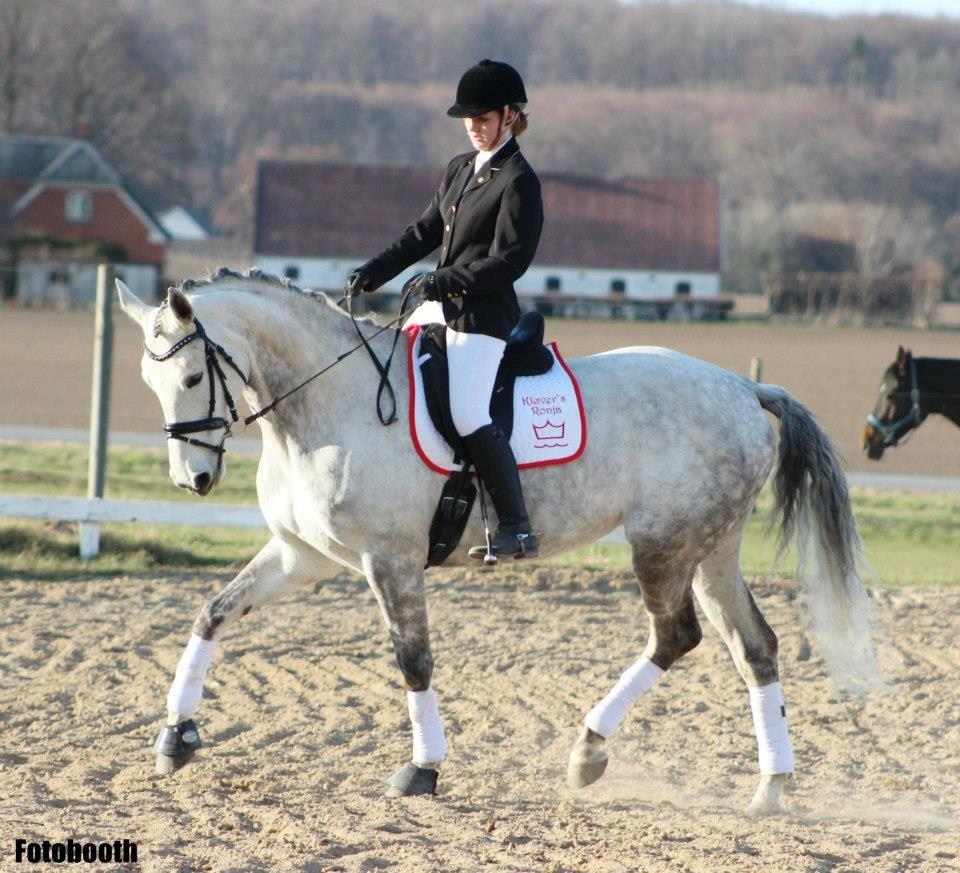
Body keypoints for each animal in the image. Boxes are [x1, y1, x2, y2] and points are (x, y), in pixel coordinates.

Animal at [118, 270, 876, 812]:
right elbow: (213, 612)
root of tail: (744, 387)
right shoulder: (299, 554)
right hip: (711, 548)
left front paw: (422, 769)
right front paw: (176, 737)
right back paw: (771, 787)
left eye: (192, 376)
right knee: (755, 647)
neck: (328, 401)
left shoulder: (390, 560)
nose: (193, 479)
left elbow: (414, 660)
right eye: (148, 381)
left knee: (675, 636)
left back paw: (588, 753)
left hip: (662, 545)